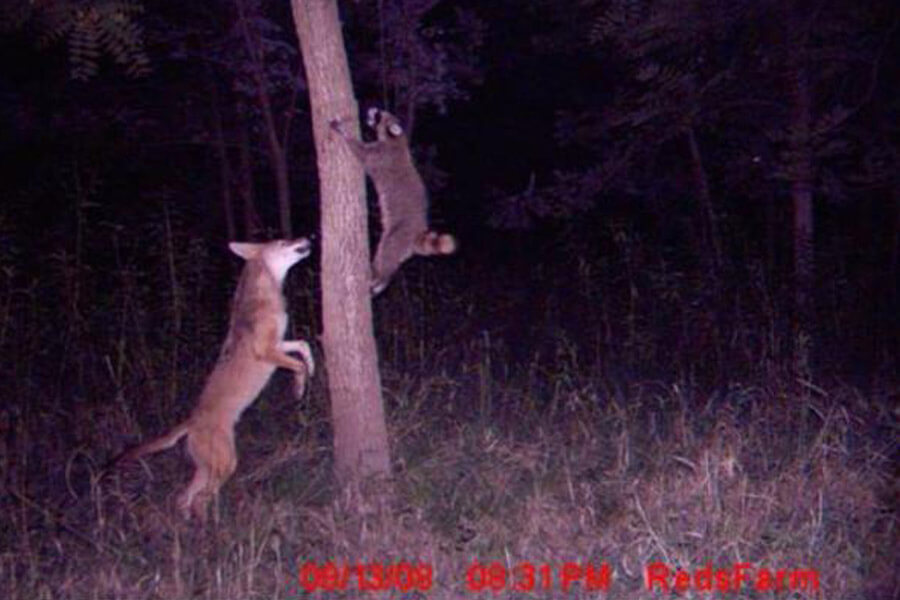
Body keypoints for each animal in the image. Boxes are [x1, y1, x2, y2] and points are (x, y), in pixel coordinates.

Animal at [116, 238, 315, 520]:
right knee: (199, 499)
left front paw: (312, 368)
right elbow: (297, 365)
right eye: (282, 241)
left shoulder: (279, 343)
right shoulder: (266, 351)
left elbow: (303, 346)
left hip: (208, 465)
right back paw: (214, 526)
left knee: (183, 498)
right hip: (225, 463)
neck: (266, 293)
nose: (308, 239)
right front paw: (299, 388)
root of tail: (191, 422)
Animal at [331, 108, 456, 295]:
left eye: (379, 115)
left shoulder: (380, 155)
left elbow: (360, 151)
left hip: (397, 235)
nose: (371, 109)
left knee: (385, 253)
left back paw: (378, 277)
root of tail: (417, 234)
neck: (397, 139)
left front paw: (343, 132)